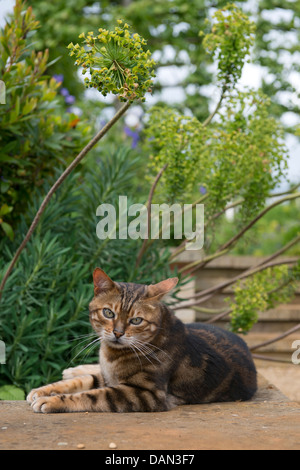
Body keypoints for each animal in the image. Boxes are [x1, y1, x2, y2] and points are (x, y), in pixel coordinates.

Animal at [27, 266, 256, 414]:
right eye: (108, 313)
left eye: (136, 320)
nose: (118, 333)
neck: (111, 355)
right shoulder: (108, 376)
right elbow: (80, 382)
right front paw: (42, 390)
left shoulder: (144, 393)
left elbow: (90, 395)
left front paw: (51, 401)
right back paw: (73, 369)